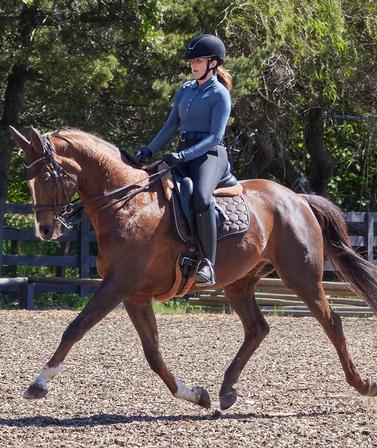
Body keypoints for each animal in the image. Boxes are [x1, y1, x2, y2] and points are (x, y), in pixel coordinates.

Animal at [9, 126, 377, 410]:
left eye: (46, 176)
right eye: (27, 179)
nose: (45, 230)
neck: (127, 204)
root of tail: (297, 198)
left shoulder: (117, 285)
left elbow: (75, 328)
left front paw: (39, 383)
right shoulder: (134, 294)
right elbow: (153, 353)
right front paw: (195, 395)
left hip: (302, 276)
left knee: (332, 322)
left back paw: (362, 385)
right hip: (239, 283)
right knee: (257, 329)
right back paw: (226, 391)